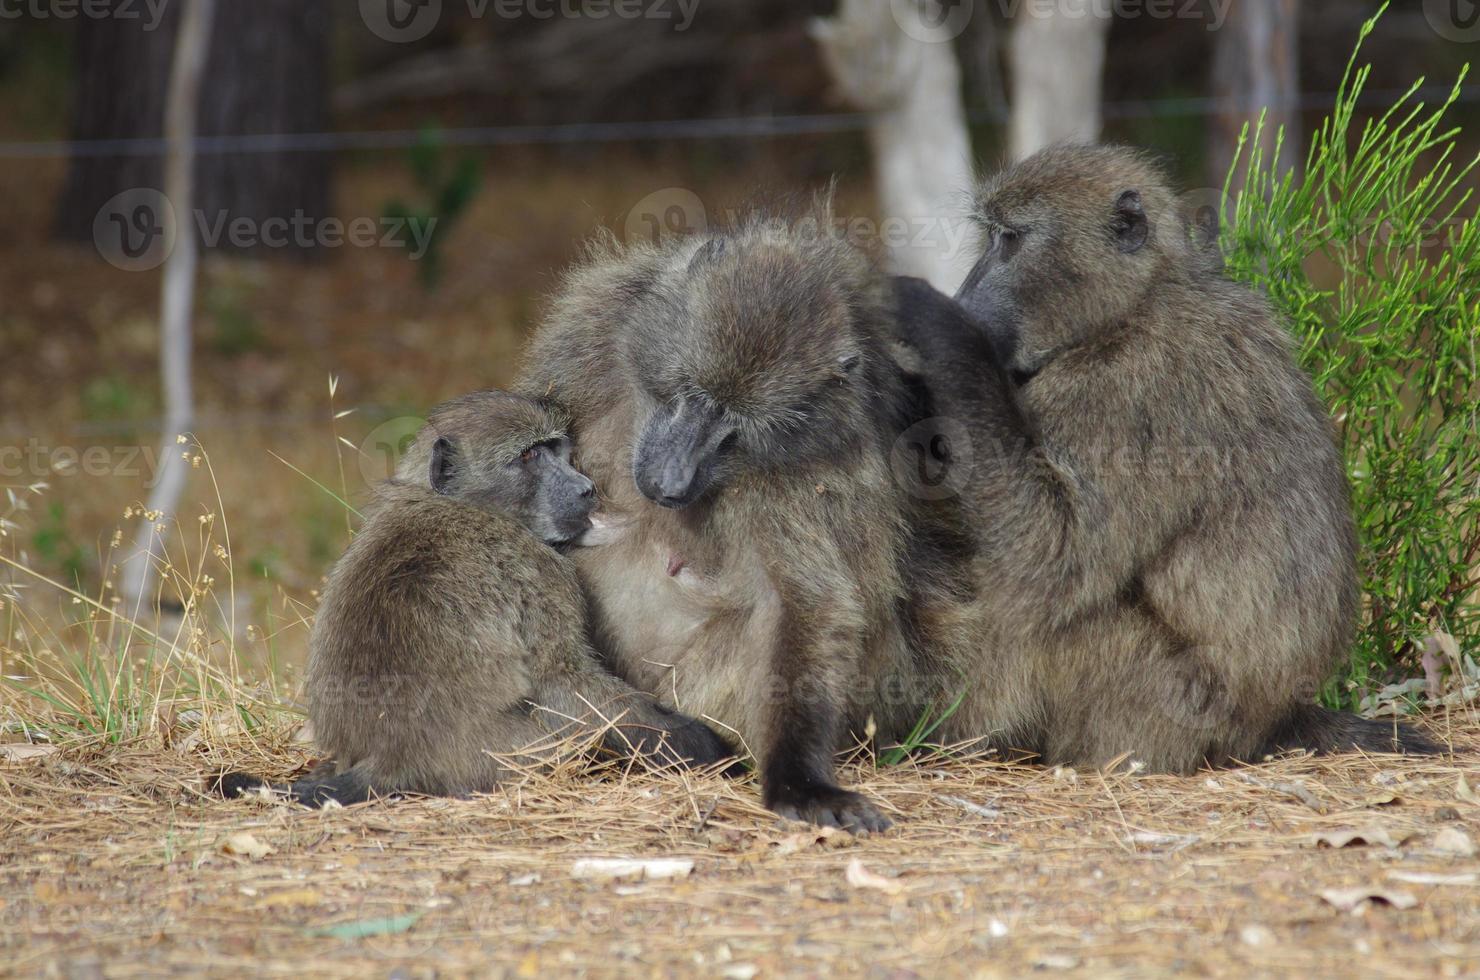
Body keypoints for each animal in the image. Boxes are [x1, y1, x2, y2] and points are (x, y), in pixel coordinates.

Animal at [215, 390, 735, 806]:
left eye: (556, 449)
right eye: (530, 456)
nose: (586, 490)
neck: (455, 502)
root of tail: (390, 757)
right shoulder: (538, 570)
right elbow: (563, 682)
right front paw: (694, 742)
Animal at [517, 213, 922, 833]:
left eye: (735, 428)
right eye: (689, 394)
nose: (669, 483)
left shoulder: (811, 467)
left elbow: (804, 603)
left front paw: (799, 781)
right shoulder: (586, 334)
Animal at [894, 143, 1438, 772]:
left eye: (1009, 239)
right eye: (992, 237)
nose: (965, 299)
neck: (1137, 304)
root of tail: (1276, 719)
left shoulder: (1124, 390)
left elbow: (1054, 555)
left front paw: (939, 334)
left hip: (1161, 703)